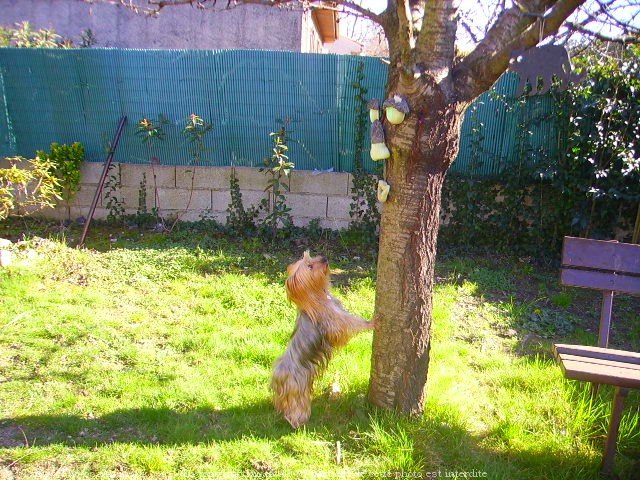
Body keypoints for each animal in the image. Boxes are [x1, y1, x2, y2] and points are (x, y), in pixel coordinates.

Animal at [272, 251, 376, 428]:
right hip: (297, 389)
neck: (318, 295)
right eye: (310, 266)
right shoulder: (336, 321)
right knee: (296, 406)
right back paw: (298, 421)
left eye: (312, 257)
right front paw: (374, 321)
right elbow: (352, 323)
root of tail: (280, 376)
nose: (324, 258)